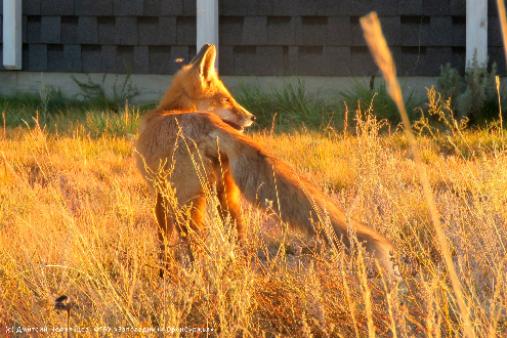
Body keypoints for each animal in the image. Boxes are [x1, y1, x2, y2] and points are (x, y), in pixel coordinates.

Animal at [136, 43, 400, 278]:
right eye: (226, 100)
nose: (252, 117)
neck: (170, 111)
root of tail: (208, 123)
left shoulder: (161, 193)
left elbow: (162, 243)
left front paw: (163, 276)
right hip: (226, 197)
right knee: (238, 241)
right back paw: (237, 277)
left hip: (187, 204)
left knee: (196, 246)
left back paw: (201, 283)